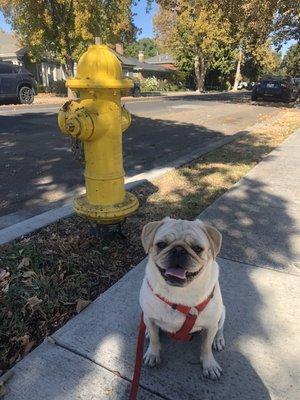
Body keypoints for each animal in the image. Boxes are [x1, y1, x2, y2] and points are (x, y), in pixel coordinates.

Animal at [139, 217, 226, 380]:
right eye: (161, 244)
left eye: (197, 248)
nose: (178, 250)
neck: (179, 293)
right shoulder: (149, 318)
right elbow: (154, 339)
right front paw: (153, 354)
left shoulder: (210, 325)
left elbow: (206, 347)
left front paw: (209, 364)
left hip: (222, 313)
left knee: (220, 328)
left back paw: (218, 340)